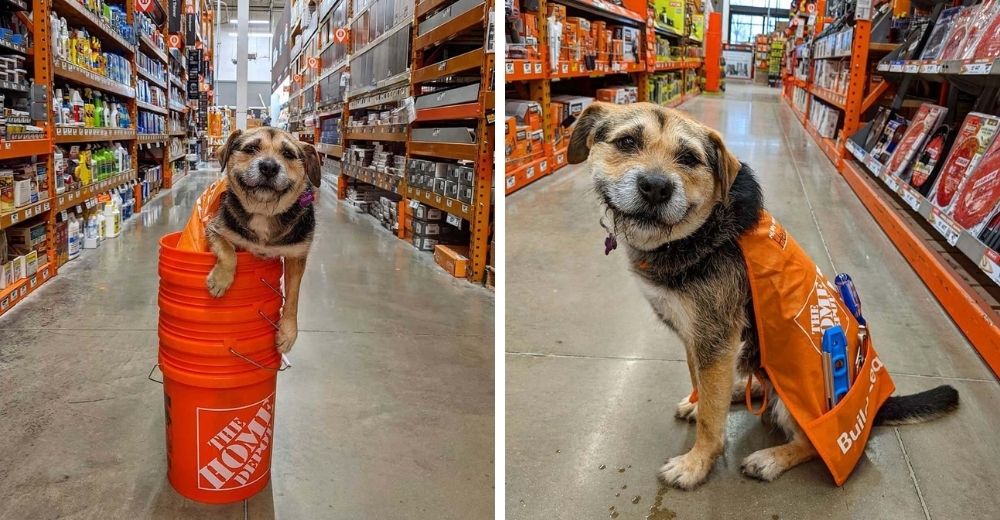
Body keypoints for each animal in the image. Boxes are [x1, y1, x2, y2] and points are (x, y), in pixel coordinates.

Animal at [207, 127, 320, 354]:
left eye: (288, 154)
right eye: (251, 148)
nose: (269, 167)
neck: (263, 211)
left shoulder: (296, 256)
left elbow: (293, 296)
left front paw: (288, 333)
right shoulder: (215, 228)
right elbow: (228, 251)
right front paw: (220, 281)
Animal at [568, 103, 956, 490]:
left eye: (689, 158)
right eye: (627, 142)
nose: (656, 187)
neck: (699, 233)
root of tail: (875, 408)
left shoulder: (716, 340)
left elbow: (711, 420)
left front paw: (696, 463)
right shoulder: (699, 339)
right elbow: (701, 386)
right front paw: (699, 403)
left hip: (805, 402)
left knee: (809, 443)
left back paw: (770, 458)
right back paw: (739, 389)